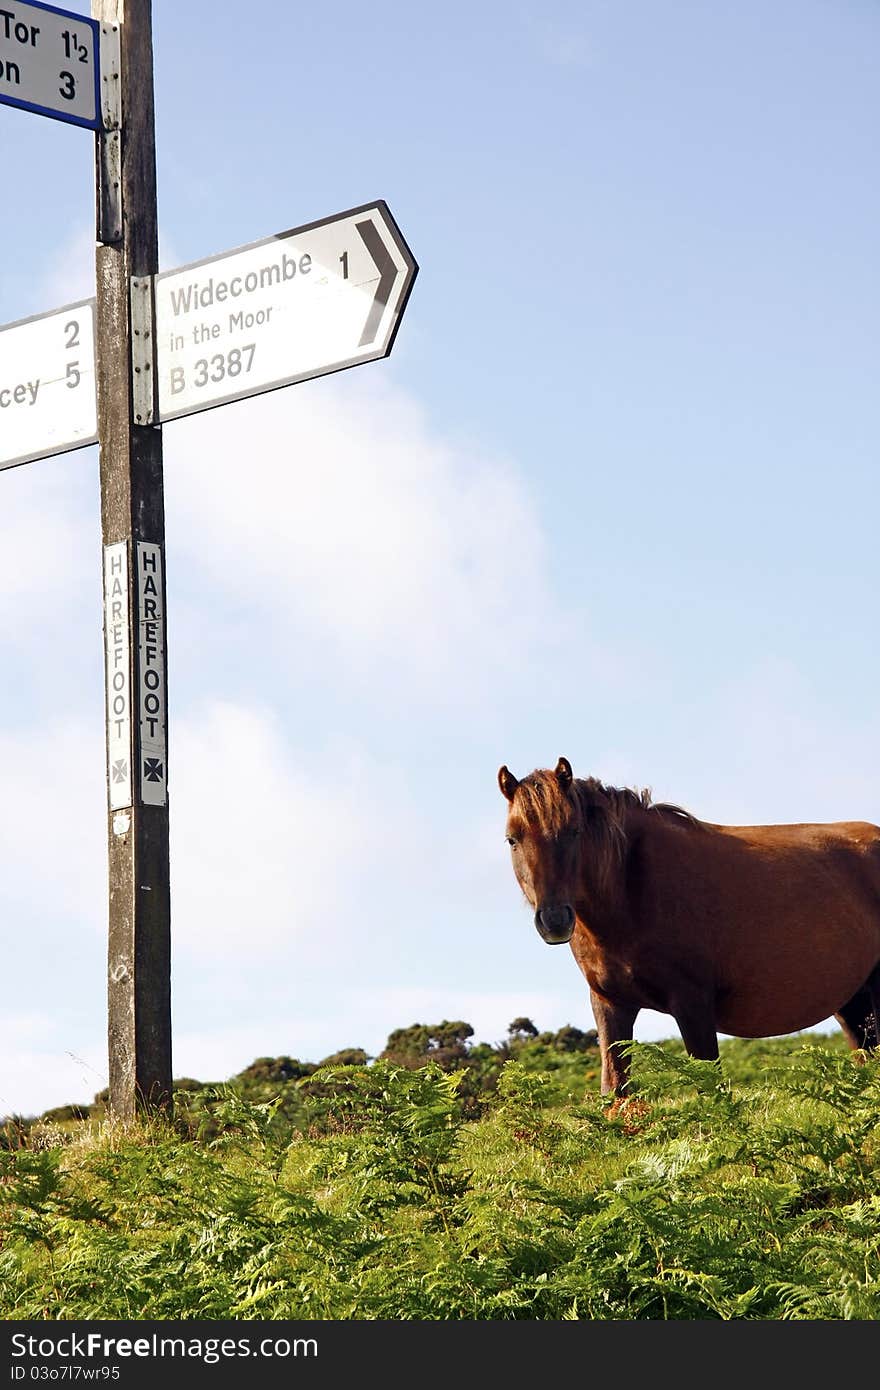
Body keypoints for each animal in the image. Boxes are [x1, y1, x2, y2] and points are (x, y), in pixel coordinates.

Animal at [497, 761, 878, 1095]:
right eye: (513, 839)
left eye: (574, 831)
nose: (554, 920)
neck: (634, 888)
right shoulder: (610, 1004)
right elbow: (615, 1090)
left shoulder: (693, 1005)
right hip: (854, 1003)